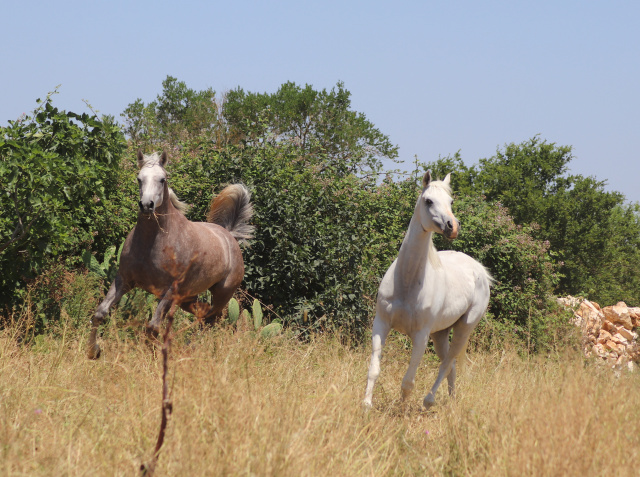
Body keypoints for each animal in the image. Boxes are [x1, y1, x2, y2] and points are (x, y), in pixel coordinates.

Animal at [87, 151, 252, 358]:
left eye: (162, 179)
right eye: (139, 178)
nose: (147, 205)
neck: (152, 244)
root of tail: (229, 236)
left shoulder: (170, 290)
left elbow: (153, 327)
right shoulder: (124, 280)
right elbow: (100, 313)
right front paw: (93, 351)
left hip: (222, 294)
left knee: (210, 319)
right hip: (187, 298)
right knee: (203, 313)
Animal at [362, 171, 492, 410]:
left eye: (451, 201)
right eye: (428, 201)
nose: (453, 226)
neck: (407, 282)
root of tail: (480, 271)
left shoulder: (421, 336)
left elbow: (408, 382)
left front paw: (402, 411)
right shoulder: (381, 325)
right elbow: (374, 369)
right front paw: (366, 404)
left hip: (464, 328)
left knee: (447, 363)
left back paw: (429, 401)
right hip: (440, 334)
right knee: (450, 367)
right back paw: (451, 401)